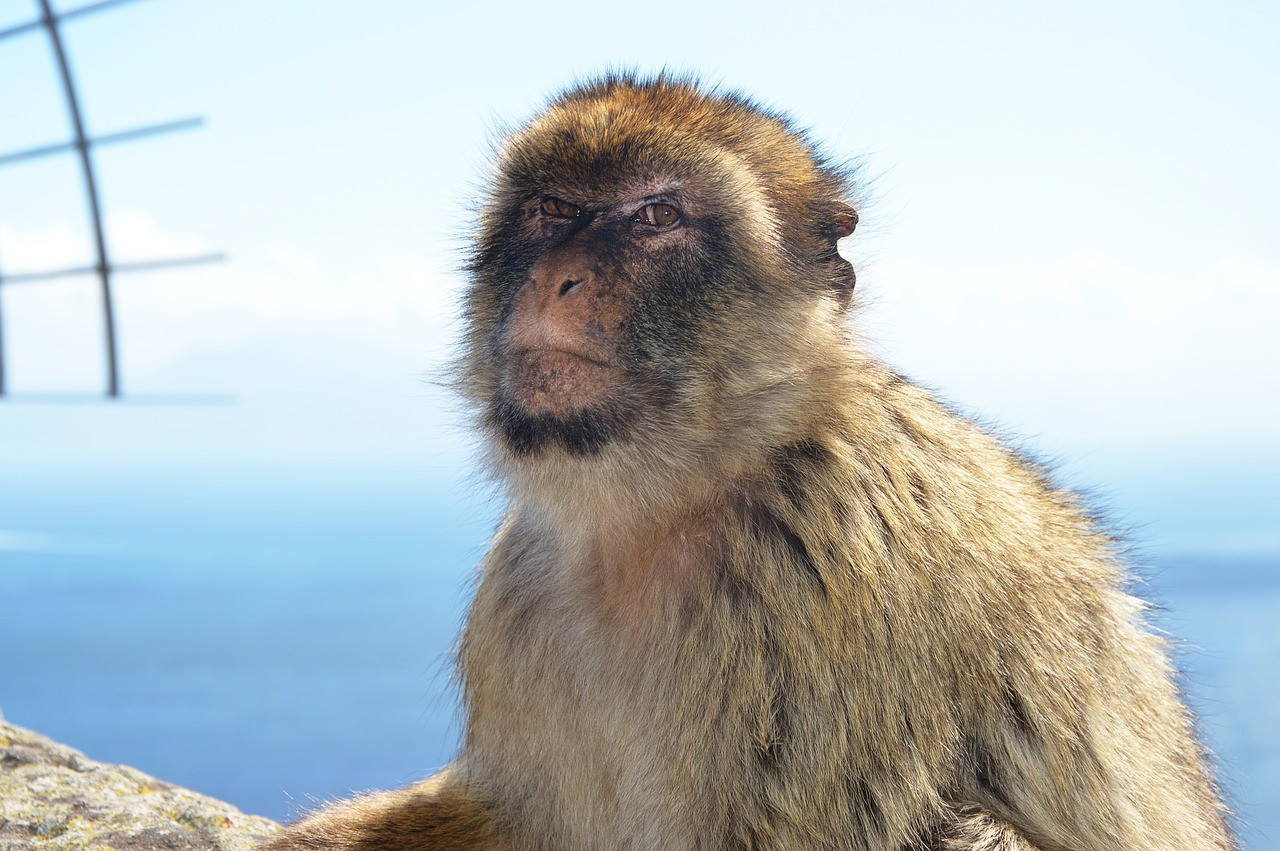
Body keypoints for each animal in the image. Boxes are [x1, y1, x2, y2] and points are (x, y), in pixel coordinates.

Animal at [264, 74, 1233, 849]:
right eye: (551, 208)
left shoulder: (820, 596)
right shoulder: (522, 593)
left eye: (657, 216)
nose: (555, 278)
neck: (676, 499)